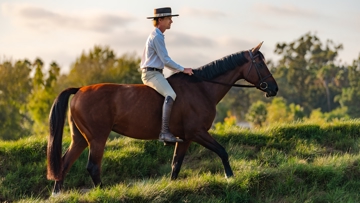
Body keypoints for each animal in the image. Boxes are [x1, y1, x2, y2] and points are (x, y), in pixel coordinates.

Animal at [46, 41, 278, 195]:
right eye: (260, 64)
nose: (274, 88)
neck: (202, 88)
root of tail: (80, 90)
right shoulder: (197, 132)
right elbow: (222, 151)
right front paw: (230, 178)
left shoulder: (185, 138)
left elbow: (176, 164)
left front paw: (172, 187)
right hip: (97, 138)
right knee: (93, 166)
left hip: (80, 138)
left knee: (64, 163)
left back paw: (58, 194)